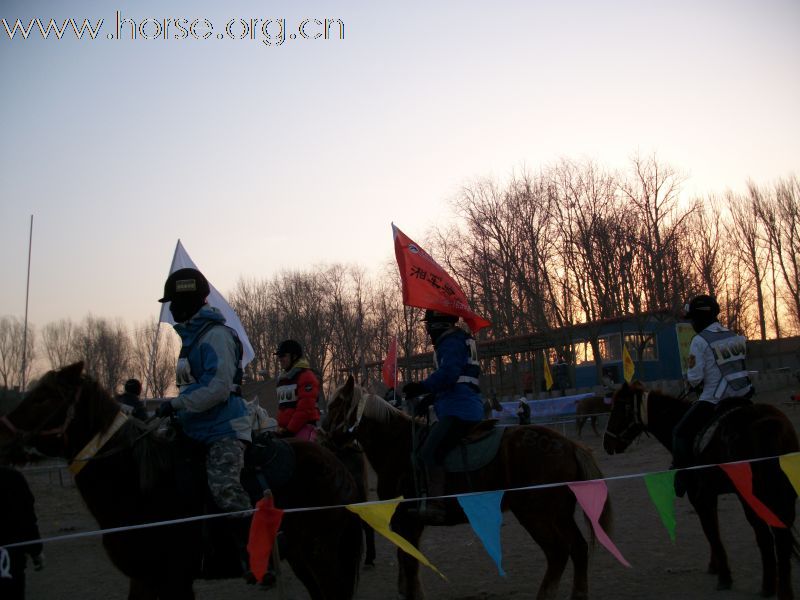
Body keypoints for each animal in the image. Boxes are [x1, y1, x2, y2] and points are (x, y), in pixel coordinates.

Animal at [2, 364, 362, 596]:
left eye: (44, 398)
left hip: (319, 553)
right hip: (303, 556)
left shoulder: (170, 577)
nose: (2, 434)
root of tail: (336, 465)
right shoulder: (146, 579)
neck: (140, 485)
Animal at [324, 378, 612, 596]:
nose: (326, 436)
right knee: (578, 549)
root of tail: (568, 445)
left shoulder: (408, 521)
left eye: (337, 404)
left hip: (535, 514)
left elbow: (410, 567)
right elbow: (407, 565)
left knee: (558, 553)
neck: (398, 445)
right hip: (560, 514)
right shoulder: (408, 523)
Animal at [604, 382, 796, 596]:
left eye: (620, 408)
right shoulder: (709, 494)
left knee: (765, 535)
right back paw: (784, 590)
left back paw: (768, 586)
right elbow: (713, 529)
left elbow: (711, 531)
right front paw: (716, 566)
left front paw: (724, 576)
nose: (607, 443)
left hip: (749, 495)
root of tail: (769, 424)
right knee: (782, 538)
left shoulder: (698, 496)